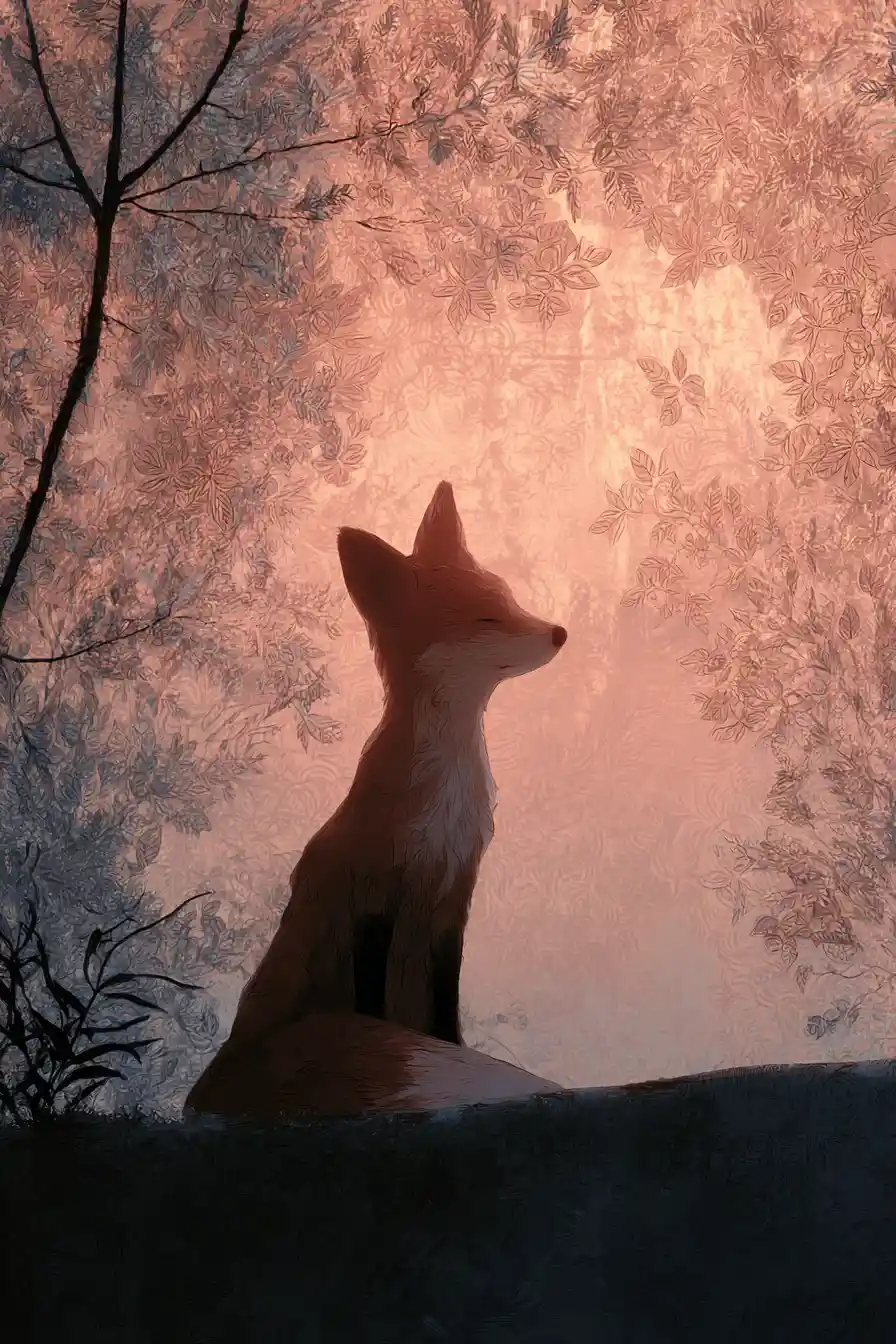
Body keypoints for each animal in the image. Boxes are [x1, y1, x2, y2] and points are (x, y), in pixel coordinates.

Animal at [214, 481, 567, 1055]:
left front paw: (450, 1046)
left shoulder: (453, 893)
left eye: (509, 598)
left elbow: (445, 1001)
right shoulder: (377, 888)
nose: (559, 632)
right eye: (486, 617)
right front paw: (383, 1038)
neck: (446, 800)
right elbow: (371, 992)